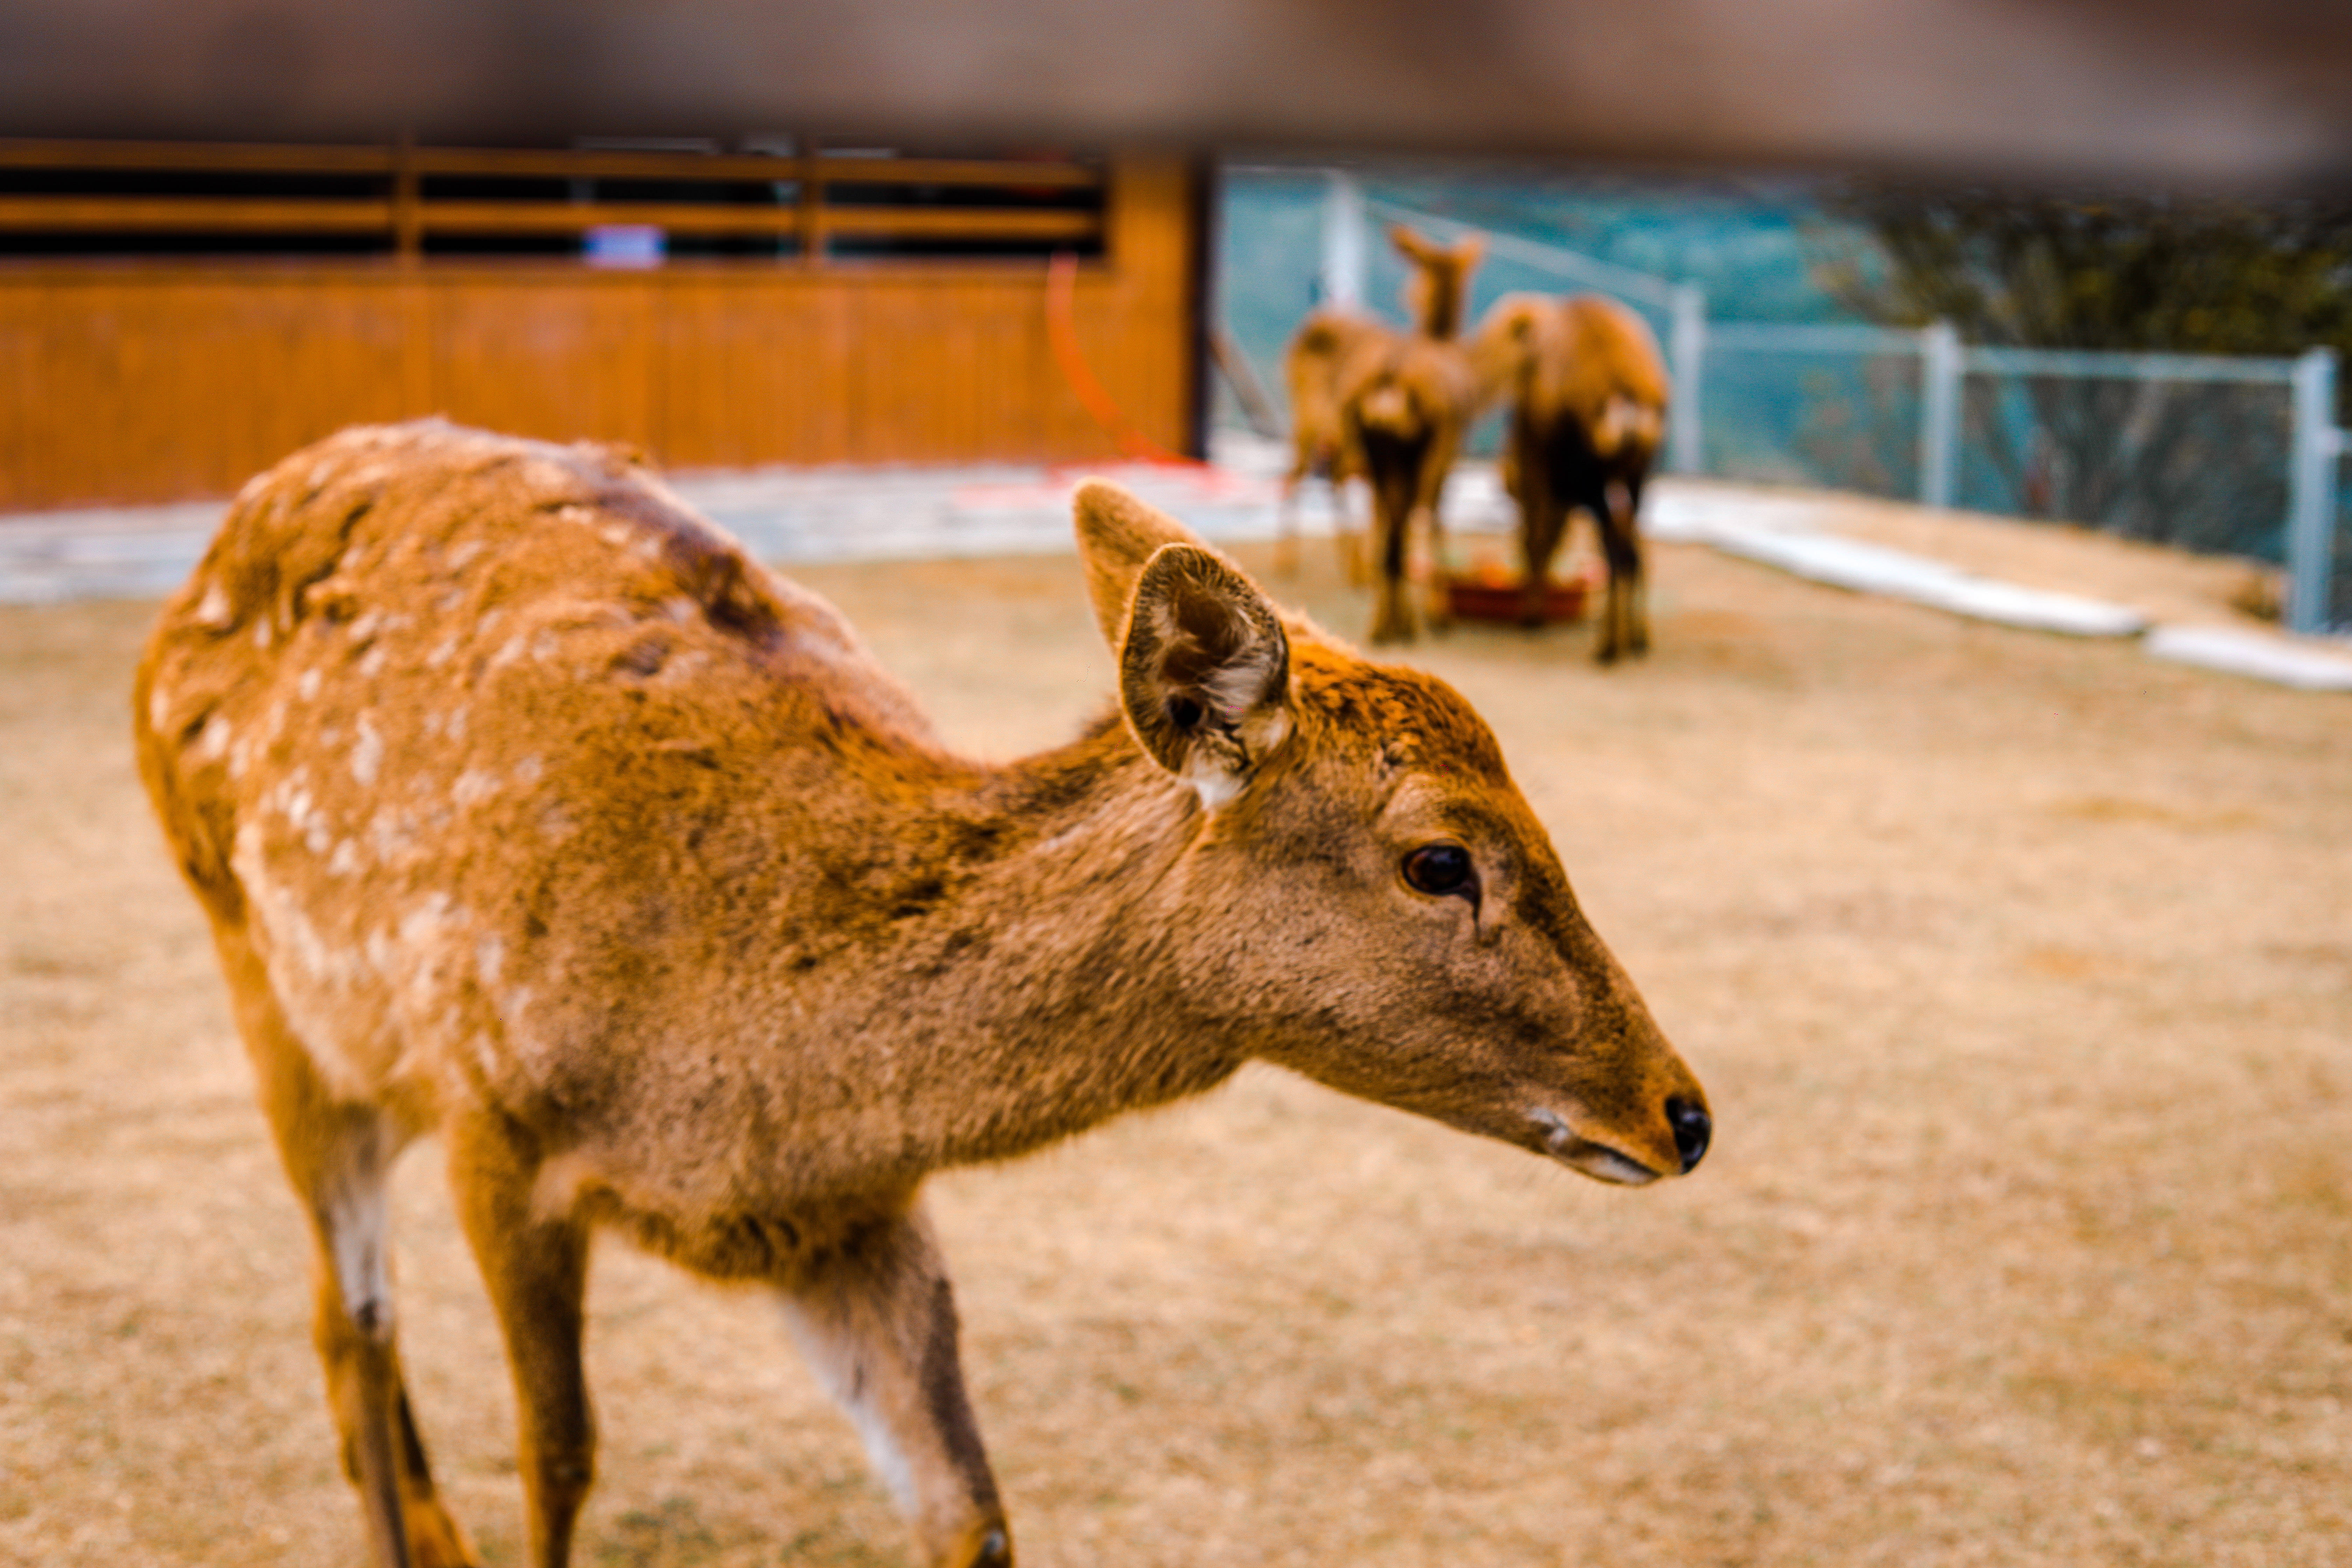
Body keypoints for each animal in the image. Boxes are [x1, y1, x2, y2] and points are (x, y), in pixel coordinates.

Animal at [133, 416, 1712, 1568]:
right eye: (1442, 859)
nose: (1683, 1112)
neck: (738, 1081)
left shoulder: (851, 1216)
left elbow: (973, 1512)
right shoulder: (497, 1122)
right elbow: (562, 1457)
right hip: (255, 969)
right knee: (352, 1319)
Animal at [1468, 293, 1674, 663]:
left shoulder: (1542, 469)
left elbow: (1538, 537)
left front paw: (1532, 616)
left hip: (1592, 481)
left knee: (1616, 551)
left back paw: (1608, 646)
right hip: (1638, 476)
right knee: (1632, 548)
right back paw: (1635, 639)